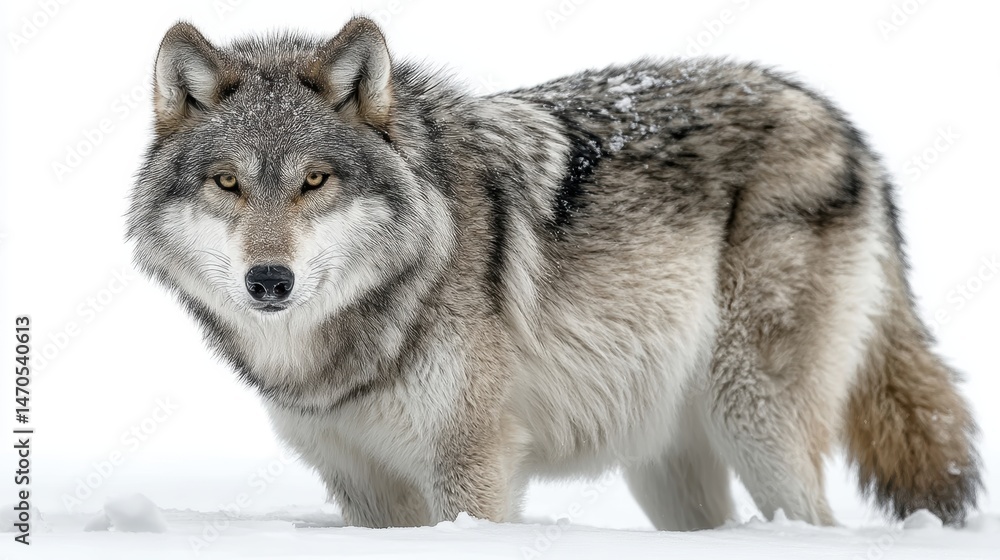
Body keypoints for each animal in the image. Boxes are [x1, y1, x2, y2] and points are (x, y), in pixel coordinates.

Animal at [127, 16, 981, 529]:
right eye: (228, 183)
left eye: (314, 181)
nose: (269, 281)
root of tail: (842, 125)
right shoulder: (362, 486)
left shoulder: (472, 465)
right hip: (670, 466)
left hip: (756, 425)